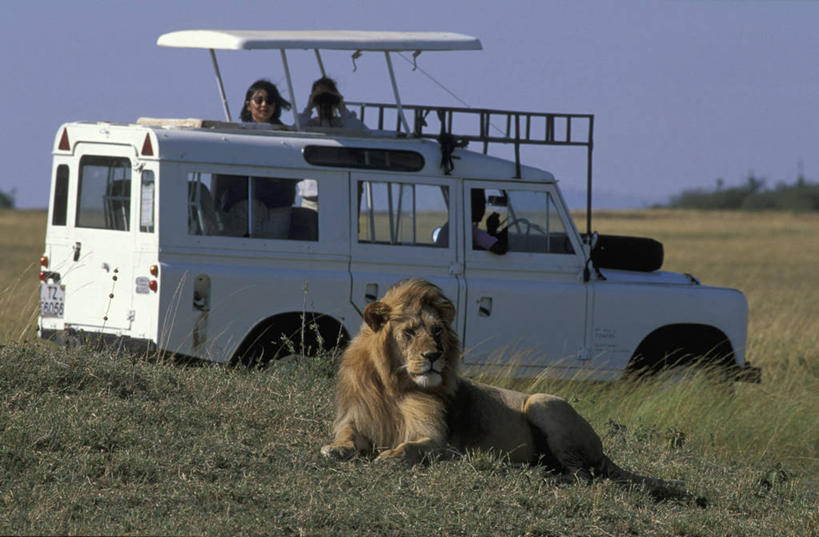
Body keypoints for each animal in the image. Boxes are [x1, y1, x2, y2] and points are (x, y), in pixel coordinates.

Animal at [324, 278, 696, 500]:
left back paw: (538, 474)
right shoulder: (355, 421)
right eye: (410, 333)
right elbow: (345, 440)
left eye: (438, 331)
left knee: (582, 476)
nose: (434, 356)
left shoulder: (446, 445)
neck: (396, 387)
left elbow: (415, 447)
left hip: (542, 402)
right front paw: (335, 450)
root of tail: (603, 450)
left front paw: (391, 456)